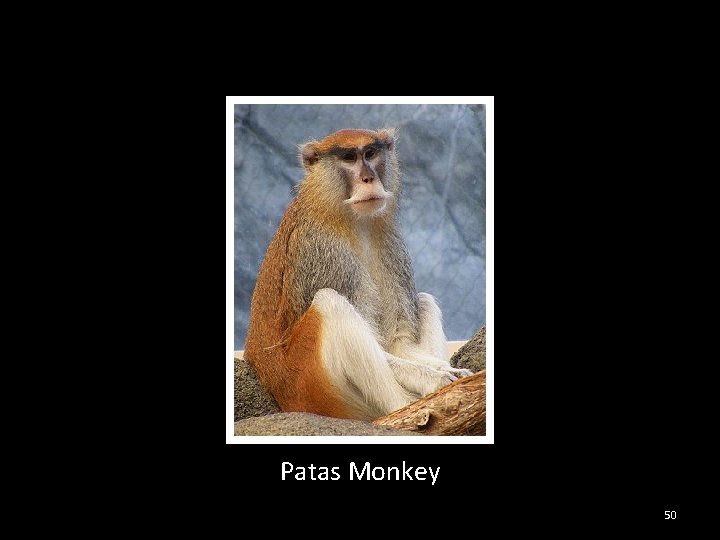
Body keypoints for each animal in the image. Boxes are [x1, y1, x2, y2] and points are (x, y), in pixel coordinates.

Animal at [244, 128, 472, 421]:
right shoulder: (323, 252)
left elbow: (399, 344)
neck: (345, 216)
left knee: (424, 300)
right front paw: (433, 379)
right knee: (330, 302)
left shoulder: (390, 246)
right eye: (349, 158)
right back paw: (402, 406)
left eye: (370, 154)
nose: (368, 178)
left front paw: (447, 370)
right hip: (307, 385)